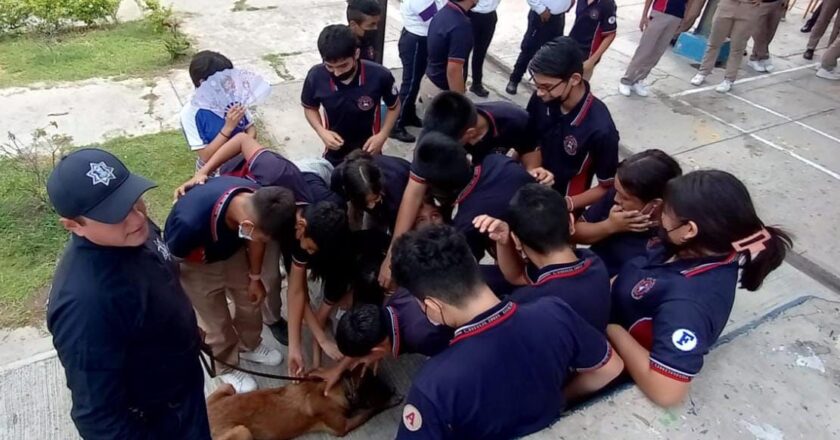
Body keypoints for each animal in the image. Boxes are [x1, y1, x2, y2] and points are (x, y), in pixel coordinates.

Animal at [205, 370, 398, 438]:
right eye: (376, 388)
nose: (392, 389)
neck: (340, 388)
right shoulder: (342, 427)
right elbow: (371, 410)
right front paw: (392, 401)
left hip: (227, 388)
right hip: (242, 431)